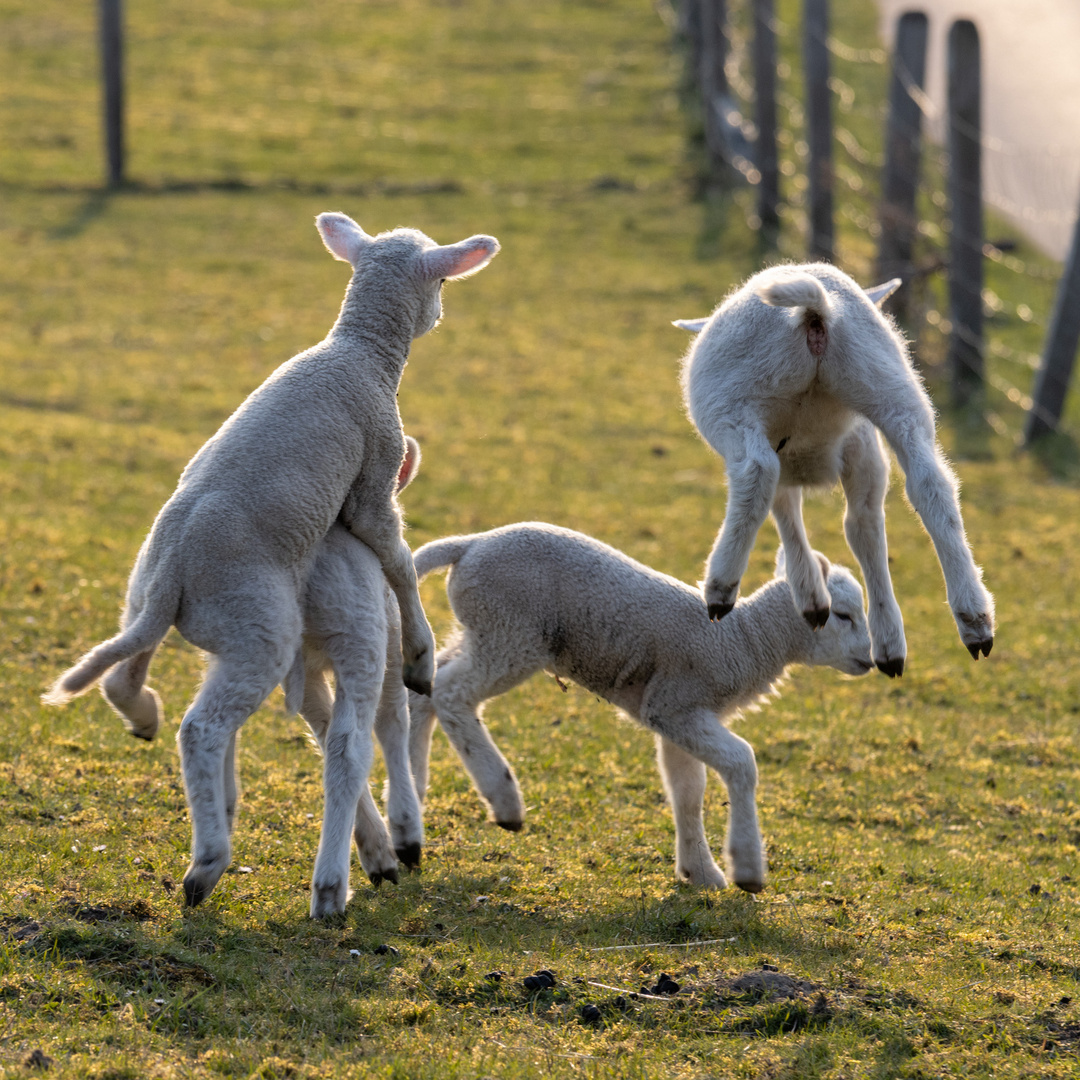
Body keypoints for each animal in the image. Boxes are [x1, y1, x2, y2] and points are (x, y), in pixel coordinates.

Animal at [41, 214, 496, 915]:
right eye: (442, 280)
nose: (440, 314)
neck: (361, 350)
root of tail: (173, 571)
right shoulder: (375, 474)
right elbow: (393, 555)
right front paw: (420, 653)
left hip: (162, 604)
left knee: (123, 672)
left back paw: (146, 720)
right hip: (260, 624)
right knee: (203, 729)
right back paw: (209, 862)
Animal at [401, 518, 872, 889]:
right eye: (842, 615)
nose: (870, 659)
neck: (744, 638)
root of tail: (470, 545)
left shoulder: (679, 714)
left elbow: (688, 792)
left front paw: (700, 872)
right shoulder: (675, 702)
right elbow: (741, 761)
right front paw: (747, 869)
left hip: (486, 630)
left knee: (428, 688)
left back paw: (414, 794)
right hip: (511, 632)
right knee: (452, 693)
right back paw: (503, 798)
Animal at [673, 259, 993, 673]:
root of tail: (815, 311)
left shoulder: (790, 450)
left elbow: (787, 510)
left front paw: (812, 596)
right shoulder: (863, 451)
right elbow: (862, 527)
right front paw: (884, 638)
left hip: (733, 401)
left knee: (756, 471)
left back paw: (721, 585)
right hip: (889, 387)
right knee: (931, 485)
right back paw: (974, 618)